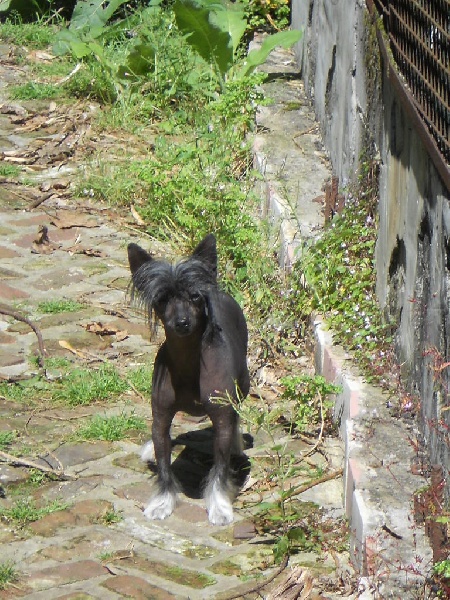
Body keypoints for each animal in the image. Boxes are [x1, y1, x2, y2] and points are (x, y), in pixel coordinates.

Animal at [127, 234, 250, 524]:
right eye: (162, 299)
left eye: (194, 296)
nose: (181, 322)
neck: (188, 360)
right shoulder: (160, 419)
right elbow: (163, 464)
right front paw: (162, 502)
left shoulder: (221, 420)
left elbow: (219, 469)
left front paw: (219, 506)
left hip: (244, 386)